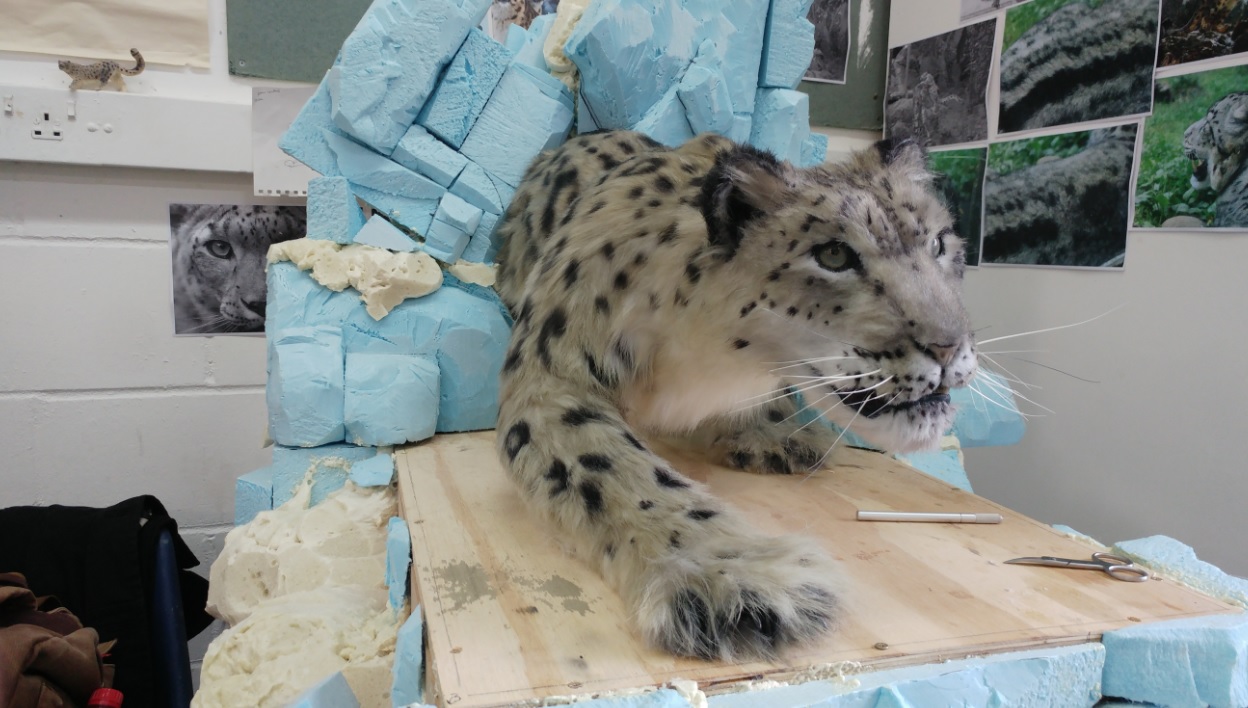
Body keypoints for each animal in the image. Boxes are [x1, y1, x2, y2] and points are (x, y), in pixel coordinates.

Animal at [493, 130, 978, 661]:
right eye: (834, 255)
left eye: (939, 242)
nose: (949, 345)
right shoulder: (552, 376)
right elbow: (611, 468)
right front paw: (736, 580)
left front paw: (771, 434)